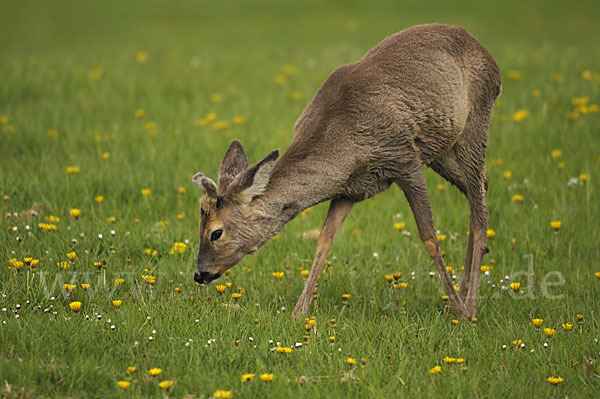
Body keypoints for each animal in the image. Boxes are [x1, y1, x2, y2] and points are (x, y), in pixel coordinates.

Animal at [192, 24, 502, 318]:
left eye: (216, 233)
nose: (199, 274)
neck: (345, 143)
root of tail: (488, 55)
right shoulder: (349, 189)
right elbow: (324, 241)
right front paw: (298, 311)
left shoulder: (404, 158)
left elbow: (428, 237)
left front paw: (459, 310)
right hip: (441, 149)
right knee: (481, 188)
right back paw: (466, 287)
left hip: (475, 122)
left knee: (479, 208)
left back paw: (470, 305)